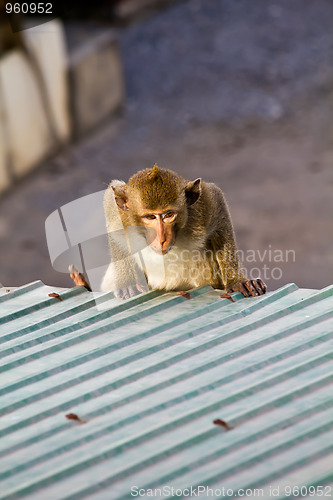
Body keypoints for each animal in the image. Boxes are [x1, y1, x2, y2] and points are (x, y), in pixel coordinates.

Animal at [100, 164, 266, 298]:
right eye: (150, 217)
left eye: (168, 215)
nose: (161, 239)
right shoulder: (120, 213)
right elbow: (114, 224)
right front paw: (126, 282)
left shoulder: (201, 210)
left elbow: (218, 203)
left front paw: (236, 281)